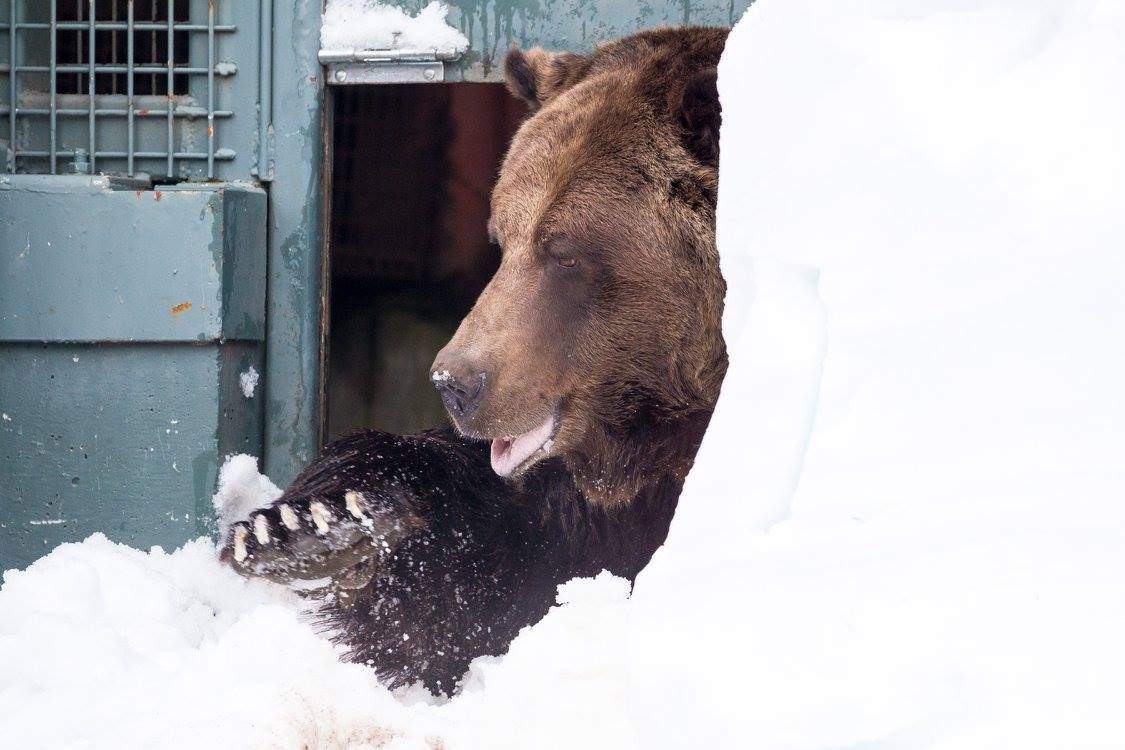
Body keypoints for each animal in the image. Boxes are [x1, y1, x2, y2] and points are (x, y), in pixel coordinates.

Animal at [223, 26, 729, 696]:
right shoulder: (585, 507)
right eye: (502, 238)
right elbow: (491, 569)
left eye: (566, 252)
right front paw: (307, 523)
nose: (454, 382)